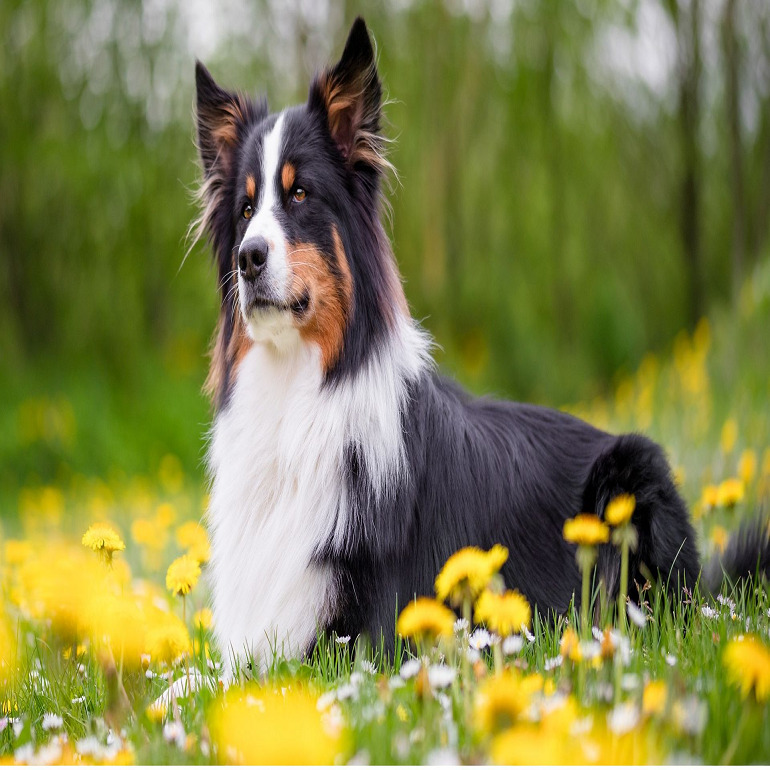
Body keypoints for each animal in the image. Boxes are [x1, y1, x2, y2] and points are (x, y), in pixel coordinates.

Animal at [194, 15, 768, 668]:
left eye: (298, 195)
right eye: (244, 209)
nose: (248, 258)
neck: (297, 388)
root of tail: (706, 585)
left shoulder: (363, 637)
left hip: (631, 475)